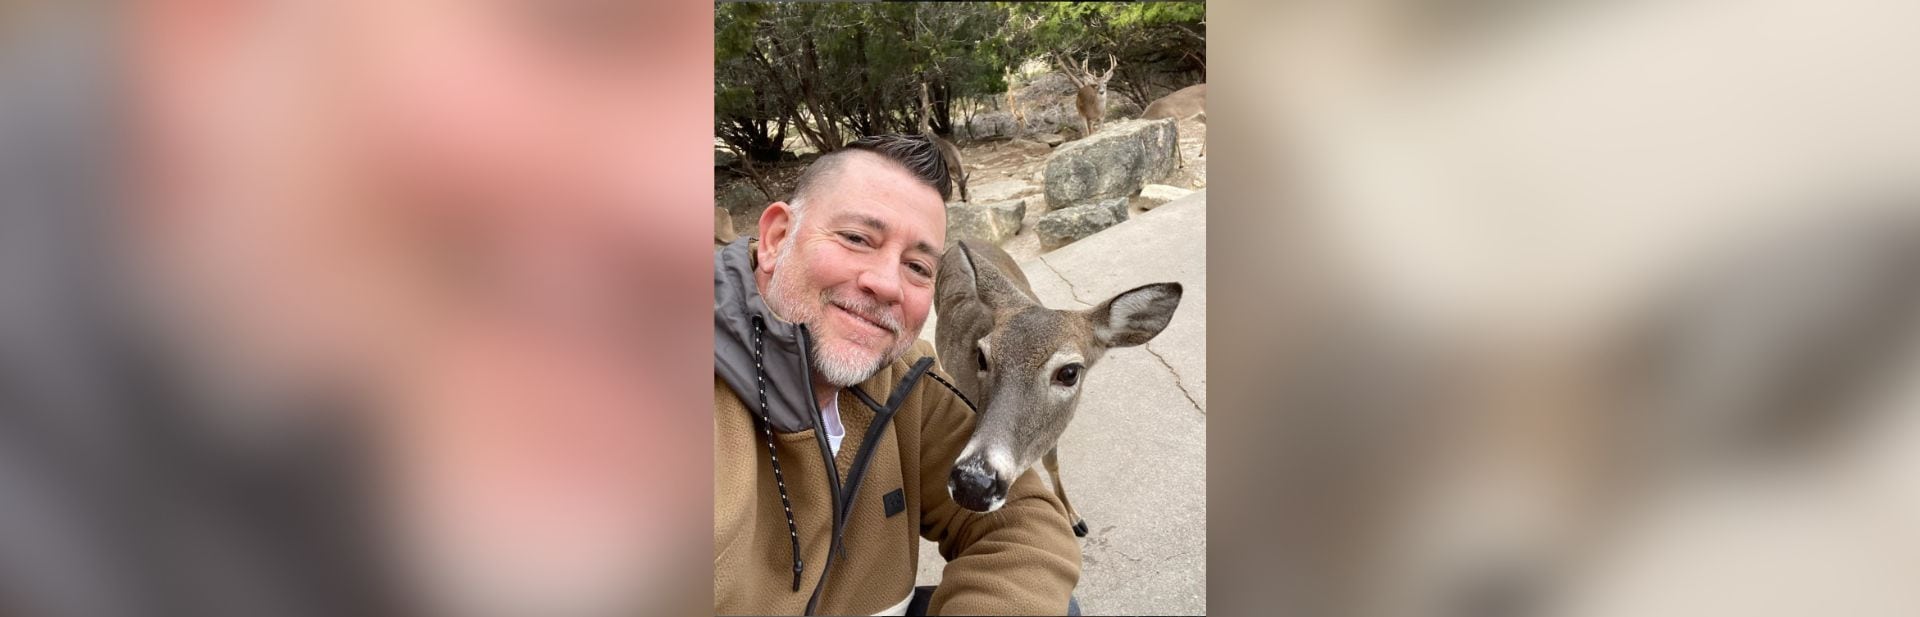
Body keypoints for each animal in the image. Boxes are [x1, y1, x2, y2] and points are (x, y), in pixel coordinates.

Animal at [934, 239, 1183, 536]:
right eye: (981, 356)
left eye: (1069, 372)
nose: (972, 484)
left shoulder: (1053, 429)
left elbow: (1052, 462)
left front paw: (1074, 518)